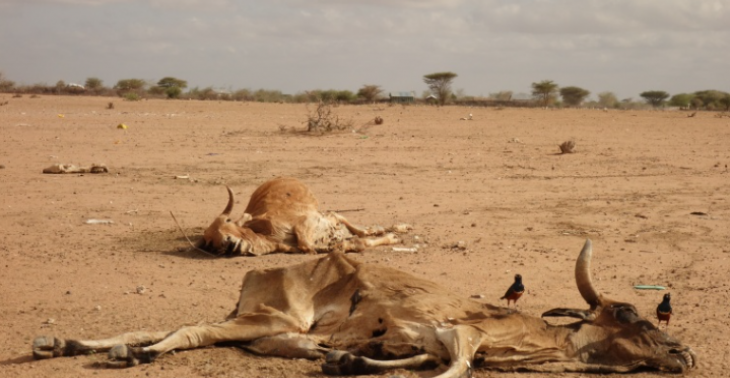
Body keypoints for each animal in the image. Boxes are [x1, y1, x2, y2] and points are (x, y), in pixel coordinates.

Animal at [193, 178, 410, 256]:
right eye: (210, 242)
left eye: (227, 221)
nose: (227, 244)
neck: (266, 234)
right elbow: (349, 244)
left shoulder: (306, 221)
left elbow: (307, 243)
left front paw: (393, 237)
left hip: (325, 215)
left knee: (344, 220)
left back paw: (398, 229)